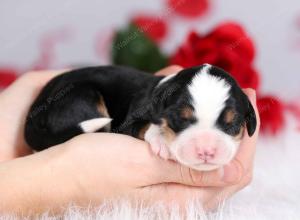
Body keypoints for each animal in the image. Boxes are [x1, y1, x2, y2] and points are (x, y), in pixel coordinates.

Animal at [24, 64, 256, 171]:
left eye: (233, 124)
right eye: (180, 119)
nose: (206, 151)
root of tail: (34, 114)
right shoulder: (130, 120)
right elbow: (145, 125)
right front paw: (161, 140)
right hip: (82, 96)